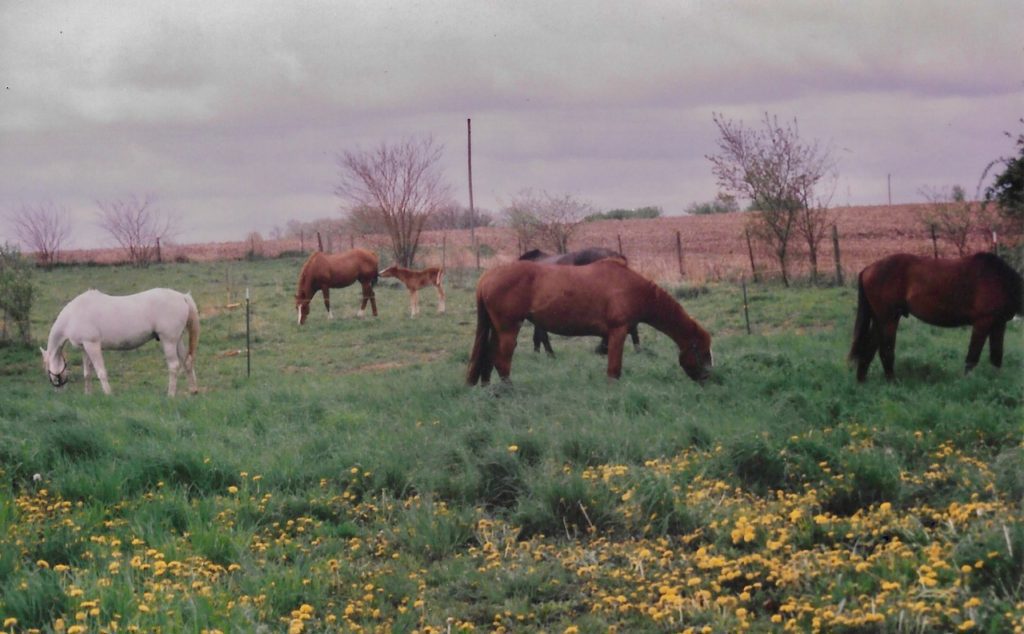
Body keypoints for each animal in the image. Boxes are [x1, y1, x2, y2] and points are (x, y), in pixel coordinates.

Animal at [41, 288, 199, 397]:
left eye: (47, 368)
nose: (59, 390)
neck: (74, 315)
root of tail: (183, 297)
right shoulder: (85, 348)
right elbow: (87, 373)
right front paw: (88, 395)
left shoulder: (93, 345)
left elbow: (101, 372)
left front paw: (108, 394)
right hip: (177, 340)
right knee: (187, 362)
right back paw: (193, 390)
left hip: (168, 341)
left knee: (174, 366)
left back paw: (170, 395)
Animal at [466, 259, 712, 387]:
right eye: (701, 351)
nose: (707, 378)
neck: (631, 287)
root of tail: (487, 277)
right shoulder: (618, 331)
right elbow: (614, 369)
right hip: (508, 329)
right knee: (502, 360)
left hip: (498, 330)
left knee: (489, 356)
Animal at [847, 251, 1024, 381]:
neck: (1000, 280)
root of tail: (868, 268)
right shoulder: (983, 322)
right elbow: (972, 358)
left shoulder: (999, 324)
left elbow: (996, 357)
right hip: (888, 319)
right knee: (885, 351)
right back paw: (892, 382)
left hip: (881, 320)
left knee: (869, 349)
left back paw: (863, 382)